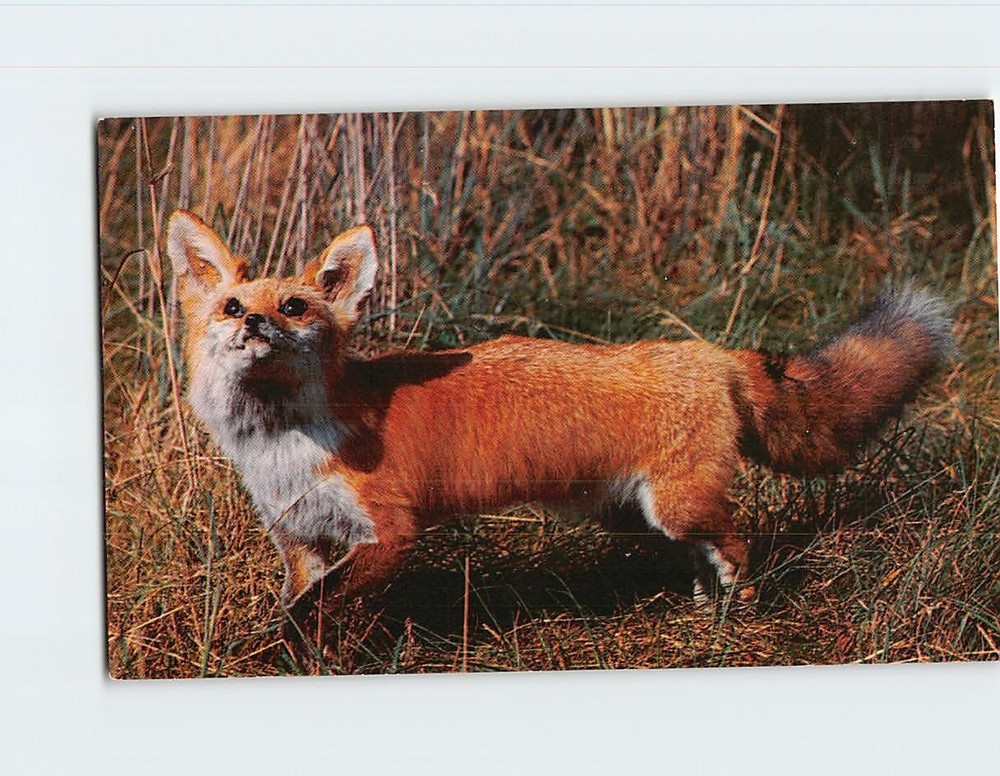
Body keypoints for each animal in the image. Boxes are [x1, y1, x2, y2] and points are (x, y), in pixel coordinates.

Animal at [166, 209, 954, 611]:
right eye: (231, 306)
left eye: (295, 307)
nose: (254, 324)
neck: (282, 445)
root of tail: (712, 353)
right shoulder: (301, 542)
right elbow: (301, 609)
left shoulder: (388, 531)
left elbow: (315, 617)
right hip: (634, 514)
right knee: (706, 556)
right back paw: (706, 610)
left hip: (677, 506)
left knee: (739, 546)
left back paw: (736, 619)